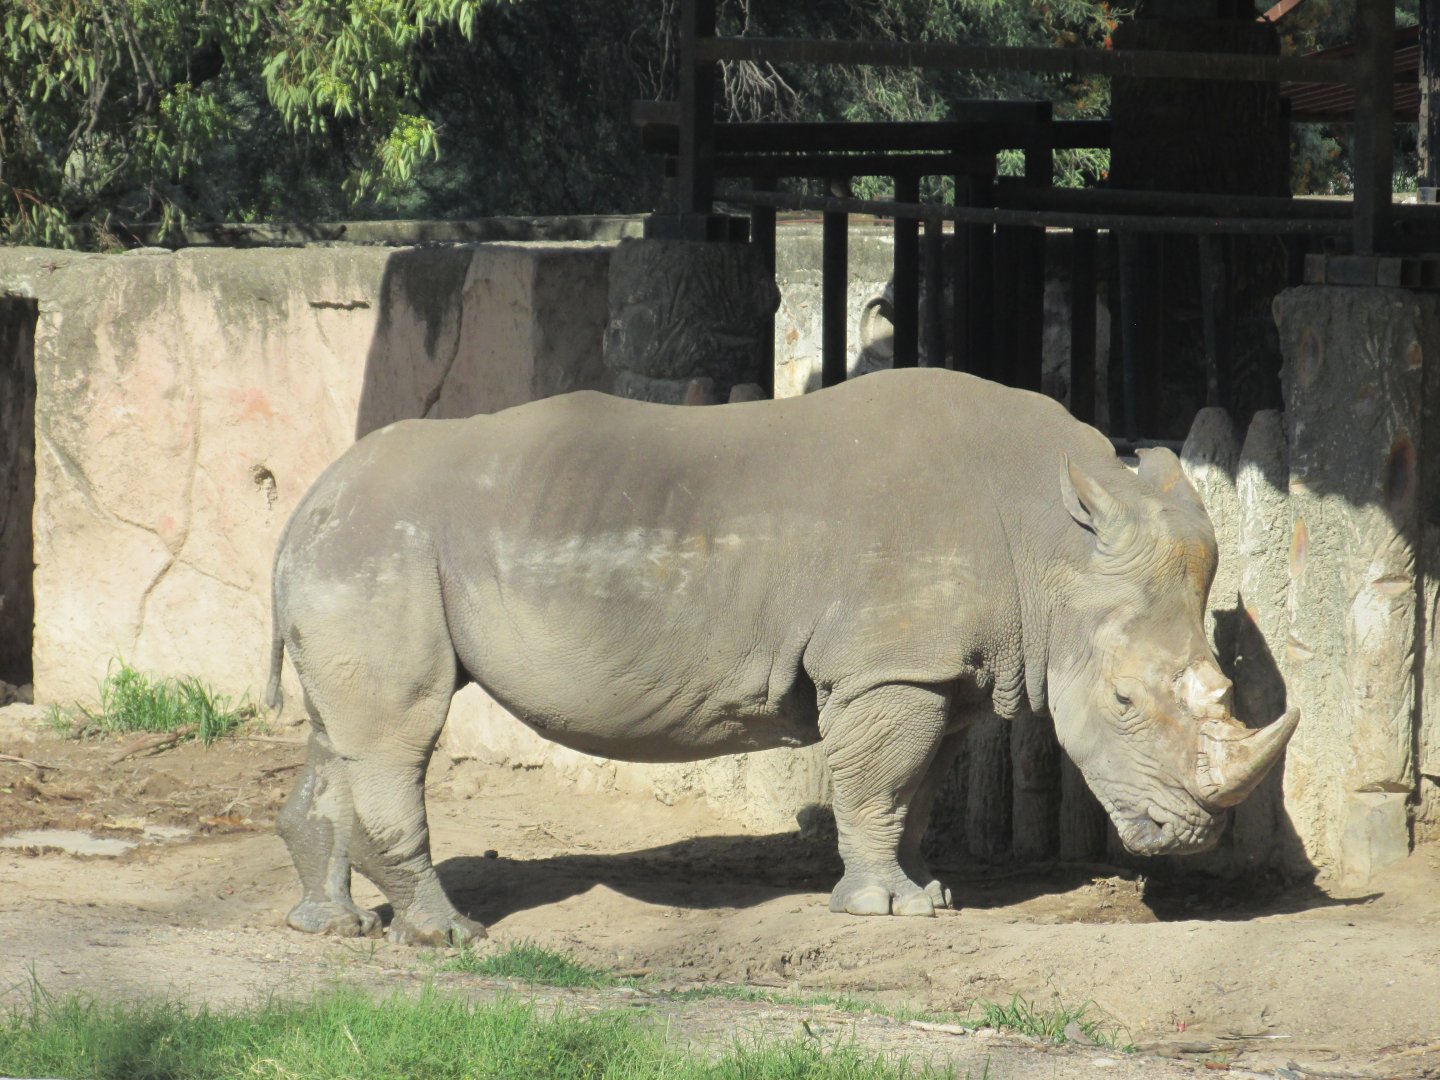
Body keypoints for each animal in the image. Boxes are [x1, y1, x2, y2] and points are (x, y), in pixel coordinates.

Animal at [267, 367, 1298, 946]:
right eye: (1123, 704)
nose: (1191, 837)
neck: (1053, 545)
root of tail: (308, 503)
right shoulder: (890, 664)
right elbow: (878, 781)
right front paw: (884, 912)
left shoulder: (936, 671)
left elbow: (913, 787)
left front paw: (924, 895)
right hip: (387, 547)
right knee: (398, 734)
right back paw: (450, 937)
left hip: (354, 554)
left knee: (340, 734)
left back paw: (334, 929)